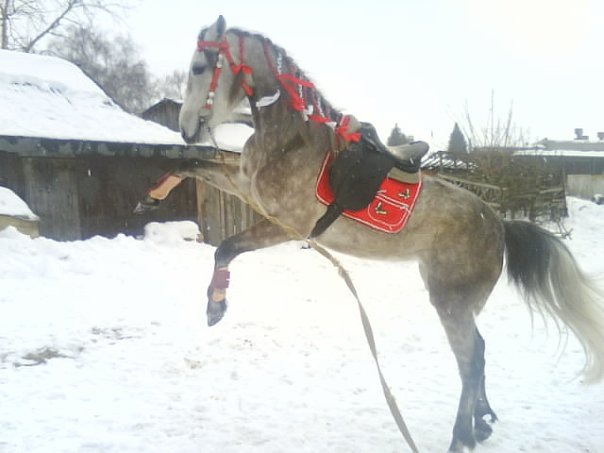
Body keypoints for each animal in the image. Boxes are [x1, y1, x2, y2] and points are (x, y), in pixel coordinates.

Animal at [136, 16, 604, 452]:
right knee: (480, 354)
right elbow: (191, 166)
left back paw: (461, 436)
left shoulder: (285, 224)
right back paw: (482, 422)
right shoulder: (246, 187)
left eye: (199, 67)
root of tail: (499, 224)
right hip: (459, 301)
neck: (291, 140)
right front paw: (150, 200)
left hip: (450, 302)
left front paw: (216, 307)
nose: (186, 128)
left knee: (470, 361)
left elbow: (226, 248)